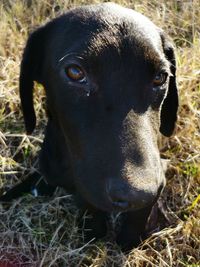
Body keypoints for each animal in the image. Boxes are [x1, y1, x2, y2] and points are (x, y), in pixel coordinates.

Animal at [0, 2, 178, 251]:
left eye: (161, 77)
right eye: (75, 72)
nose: (140, 195)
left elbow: (137, 218)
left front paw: (130, 238)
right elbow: (88, 205)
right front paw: (92, 232)